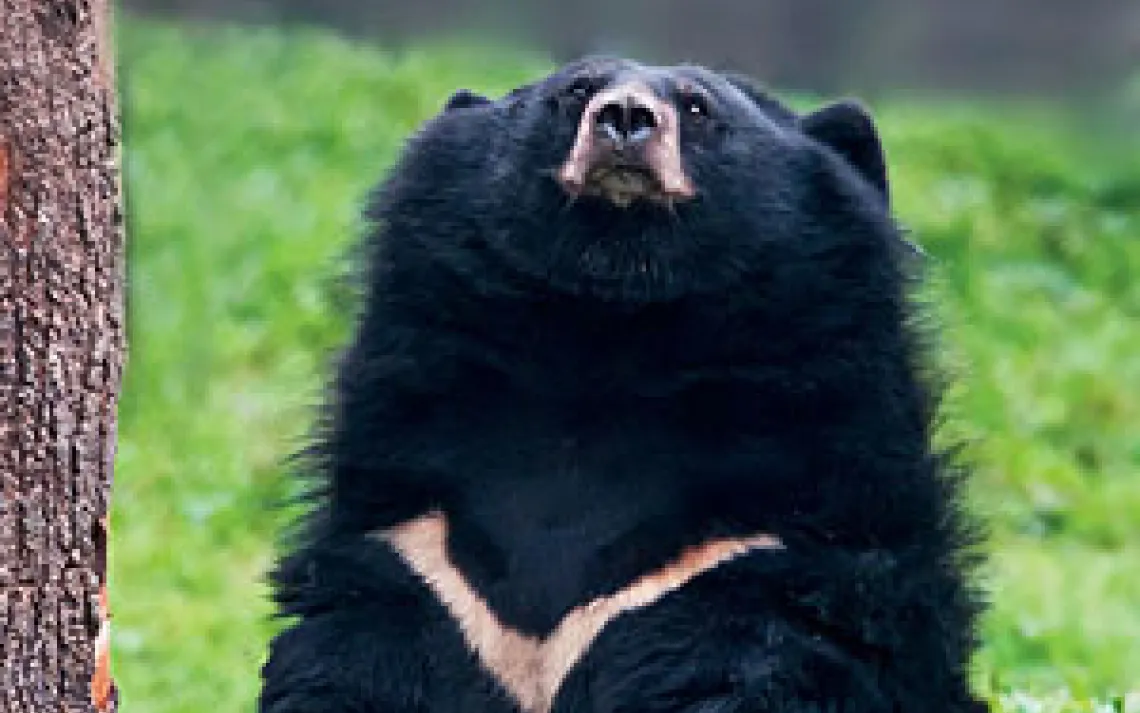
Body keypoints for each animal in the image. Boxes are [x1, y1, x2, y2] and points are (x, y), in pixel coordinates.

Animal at [257, 56, 987, 713]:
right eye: (575, 91)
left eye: (698, 107)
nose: (626, 117)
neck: (611, 333)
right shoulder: (422, 557)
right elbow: (355, 658)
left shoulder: (766, 554)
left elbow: (745, 668)